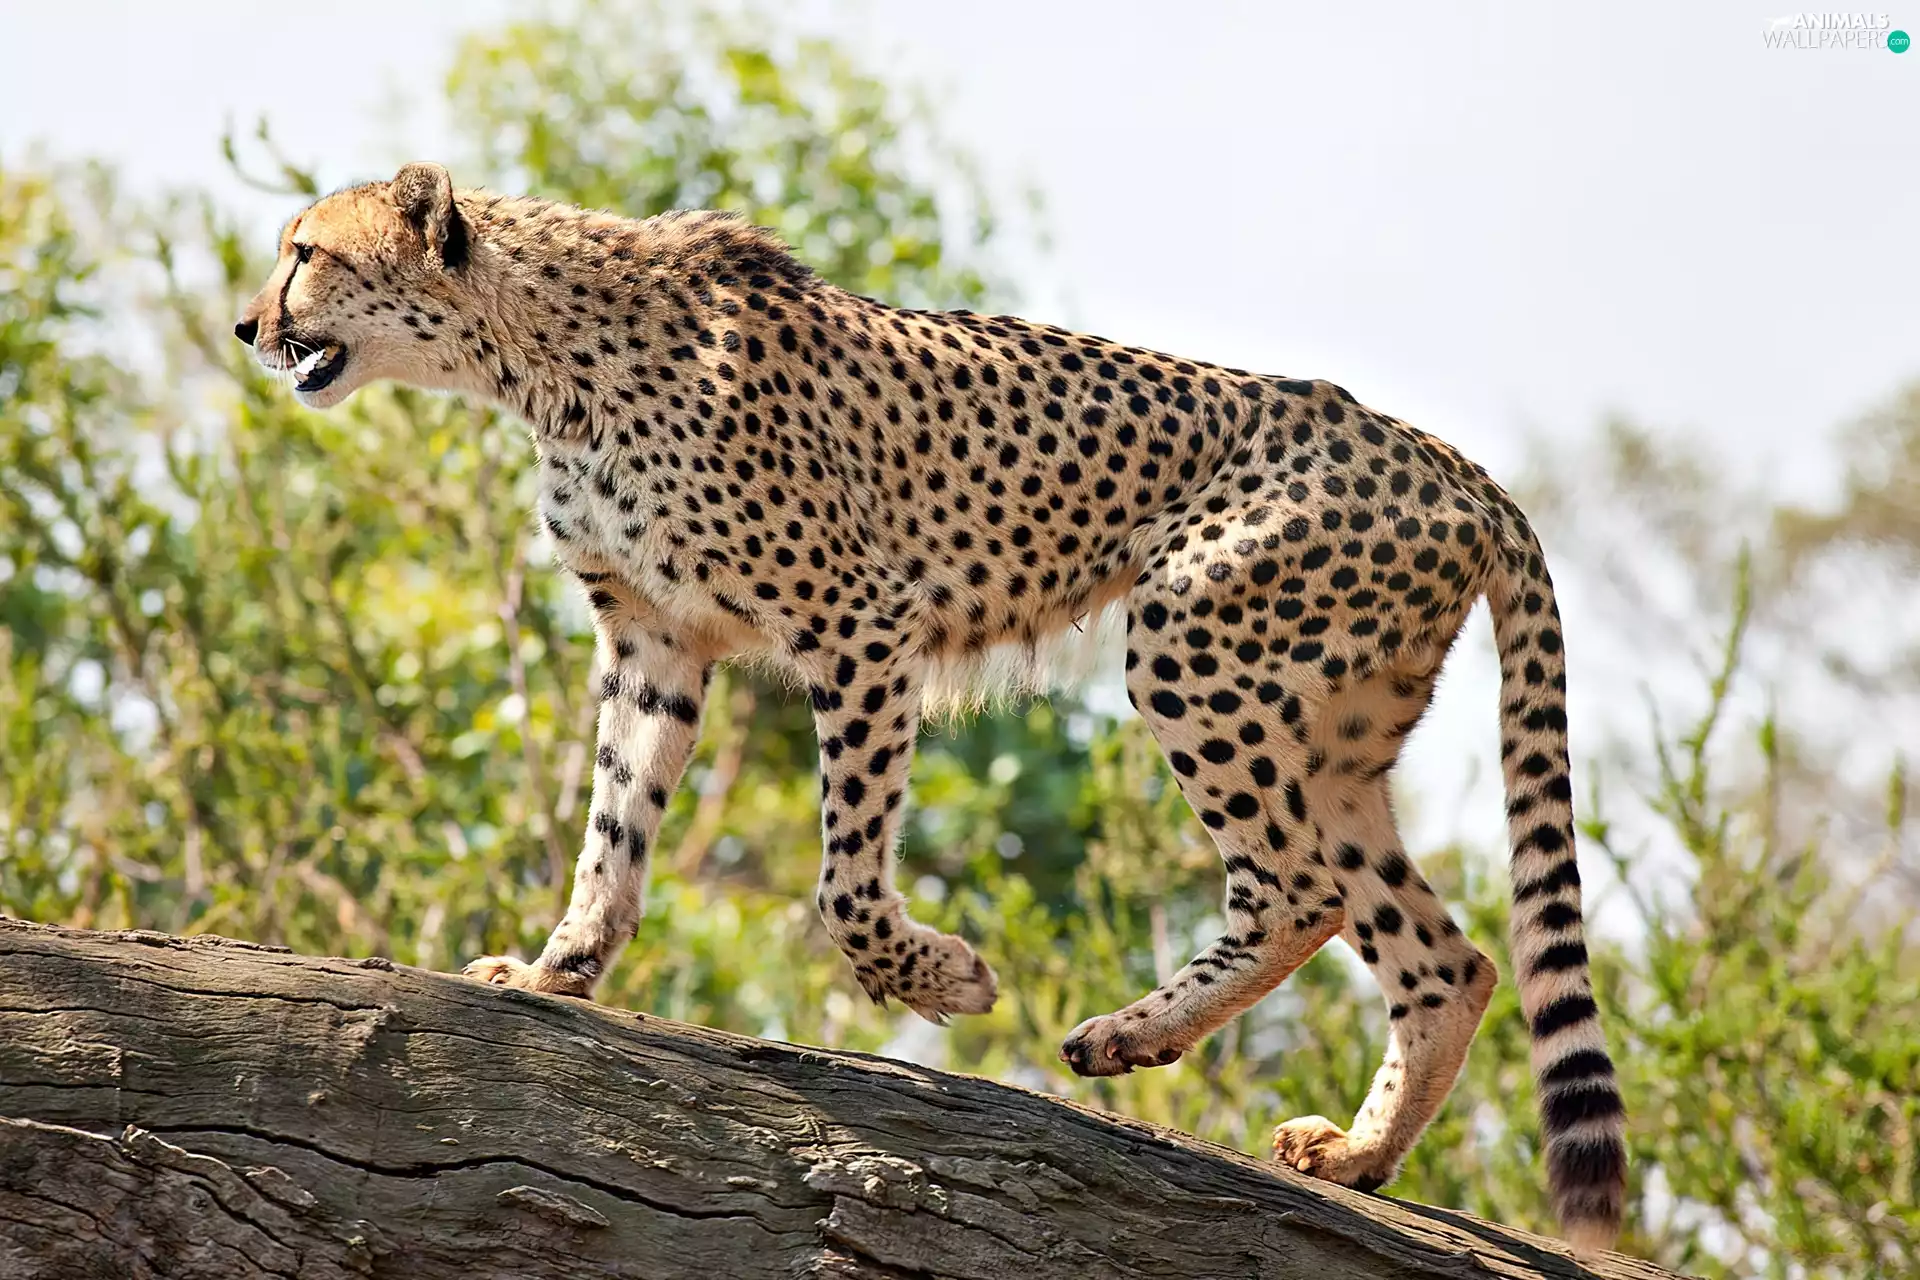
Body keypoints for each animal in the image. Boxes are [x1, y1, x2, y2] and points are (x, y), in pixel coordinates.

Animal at [235, 162, 1628, 1250]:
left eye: (307, 251)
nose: (249, 324)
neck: (539, 352)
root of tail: (1449, 460)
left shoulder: (859, 621)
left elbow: (844, 877)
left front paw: (941, 976)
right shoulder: (654, 635)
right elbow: (613, 831)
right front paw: (555, 968)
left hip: (1191, 642)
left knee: (1300, 890)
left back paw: (1131, 1037)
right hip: (1329, 736)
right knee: (1445, 954)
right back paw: (1347, 1152)